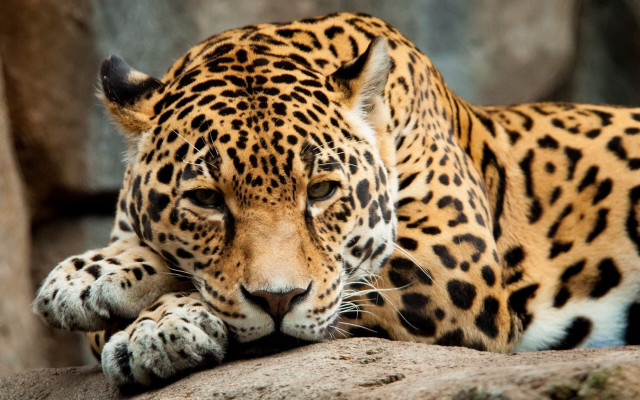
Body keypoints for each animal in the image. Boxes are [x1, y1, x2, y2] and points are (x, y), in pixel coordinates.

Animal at [33, 12, 640, 387]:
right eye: (206, 200)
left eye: (322, 191)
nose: (278, 301)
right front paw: (95, 276)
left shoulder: (453, 259)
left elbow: (344, 285)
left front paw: (155, 328)